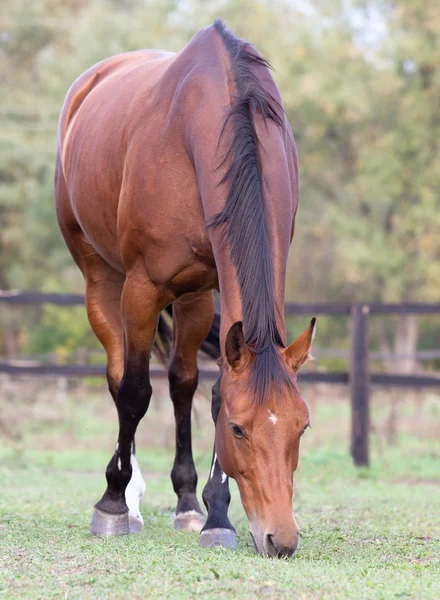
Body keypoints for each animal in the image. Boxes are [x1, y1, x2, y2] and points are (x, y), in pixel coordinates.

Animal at [55, 21, 316, 560]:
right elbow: (134, 391)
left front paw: (214, 514)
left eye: (302, 426)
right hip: (101, 278)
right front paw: (112, 503)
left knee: (181, 382)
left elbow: (208, 391)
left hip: (192, 298)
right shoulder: (142, 287)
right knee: (119, 375)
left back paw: (186, 501)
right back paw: (127, 497)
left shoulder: (205, 291)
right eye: (239, 430)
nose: (279, 539)